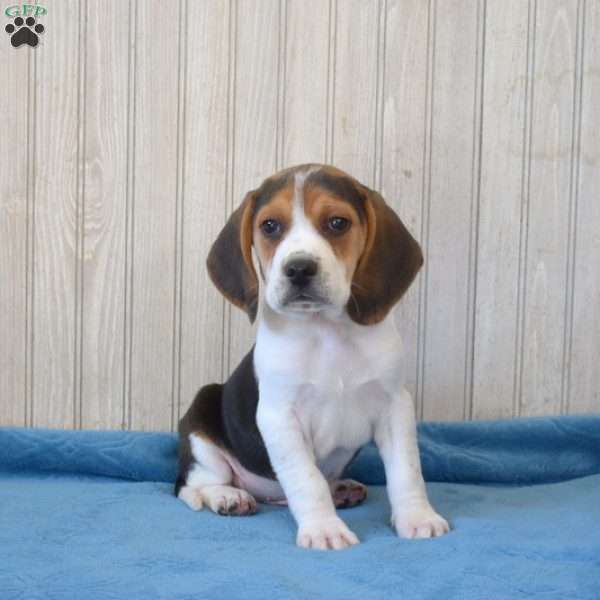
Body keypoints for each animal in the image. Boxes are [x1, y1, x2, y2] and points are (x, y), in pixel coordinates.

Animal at [176, 163, 448, 548]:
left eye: (337, 223)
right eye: (270, 226)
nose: (300, 268)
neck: (326, 331)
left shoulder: (395, 405)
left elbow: (407, 471)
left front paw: (418, 517)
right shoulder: (280, 416)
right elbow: (307, 479)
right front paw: (324, 529)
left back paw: (341, 489)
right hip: (202, 418)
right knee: (193, 485)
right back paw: (229, 496)